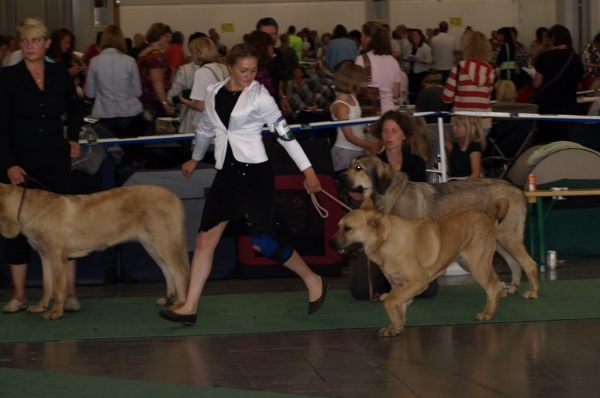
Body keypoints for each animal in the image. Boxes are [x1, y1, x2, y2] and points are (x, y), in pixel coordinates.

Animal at [0, 184, 190, 320]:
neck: (29, 209)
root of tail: (175, 197)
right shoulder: (45, 256)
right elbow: (47, 285)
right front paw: (41, 307)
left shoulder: (57, 256)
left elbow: (59, 288)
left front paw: (55, 312)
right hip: (151, 245)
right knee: (167, 270)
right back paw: (169, 298)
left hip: (164, 242)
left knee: (180, 272)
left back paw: (180, 303)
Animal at [330, 199, 508, 336]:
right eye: (338, 226)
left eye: (348, 228)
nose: (330, 242)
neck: (386, 241)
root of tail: (486, 214)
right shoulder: (398, 285)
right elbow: (397, 306)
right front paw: (395, 327)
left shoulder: (418, 282)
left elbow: (389, 301)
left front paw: (395, 323)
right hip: (472, 263)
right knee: (497, 281)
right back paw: (503, 292)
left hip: (477, 265)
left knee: (492, 287)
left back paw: (487, 313)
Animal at [340, 155, 540, 298]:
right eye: (350, 165)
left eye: (358, 168)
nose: (338, 178)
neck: (389, 195)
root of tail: (518, 190)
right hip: (498, 240)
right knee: (515, 263)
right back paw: (511, 288)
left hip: (508, 238)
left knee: (529, 263)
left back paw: (532, 291)